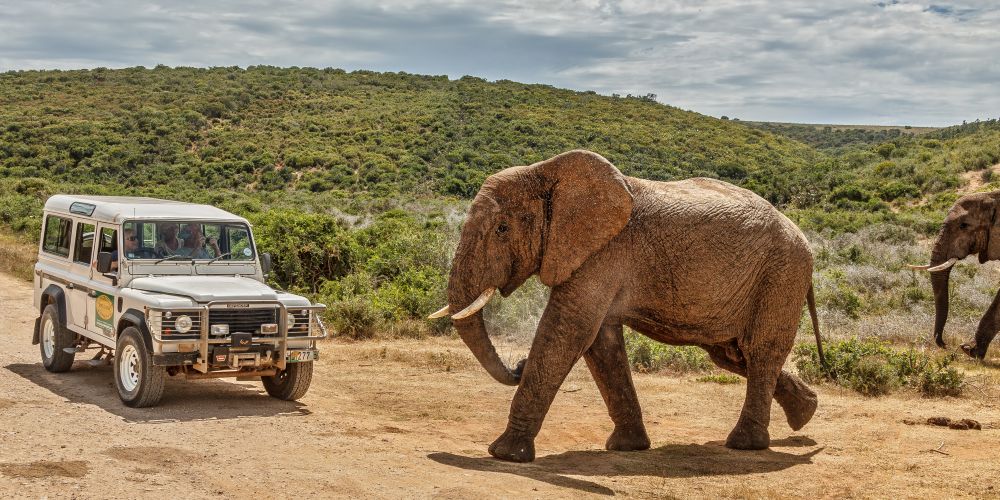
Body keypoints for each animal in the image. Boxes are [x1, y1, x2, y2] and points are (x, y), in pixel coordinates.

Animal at [426, 150, 824, 462]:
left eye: (502, 229)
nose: (518, 365)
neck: (548, 171)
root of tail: (801, 236)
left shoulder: (604, 252)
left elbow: (567, 332)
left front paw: (504, 454)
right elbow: (601, 343)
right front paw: (627, 447)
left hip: (782, 273)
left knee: (759, 352)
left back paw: (745, 445)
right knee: (732, 354)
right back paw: (806, 412)